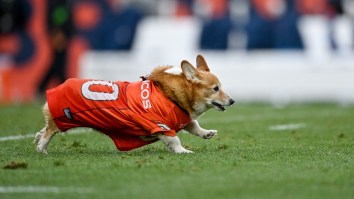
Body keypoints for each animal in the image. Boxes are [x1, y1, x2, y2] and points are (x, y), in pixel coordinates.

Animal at [34, 54, 235, 154]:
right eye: (216, 88)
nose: (232, 101)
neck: (171, 95)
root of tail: (57, 88)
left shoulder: (182, 119)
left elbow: (194, 126)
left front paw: (207, 133)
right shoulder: (159, 124)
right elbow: (174, 139)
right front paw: (183, 151)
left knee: (44, 128)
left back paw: (37, 138)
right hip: (63, 120)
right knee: (49, 131)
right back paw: (41, 148)